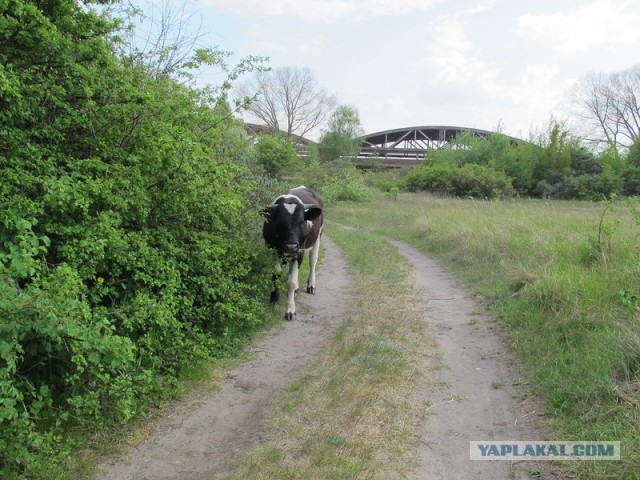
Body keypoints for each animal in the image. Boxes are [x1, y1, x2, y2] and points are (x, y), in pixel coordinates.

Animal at [262, 186, 324, 320]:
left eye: (301, 222)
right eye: (280, 222)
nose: (291, 246)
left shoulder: (299, 252)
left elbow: (291, 282)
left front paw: (290, 310)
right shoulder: (271, 251)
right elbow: (276, 276)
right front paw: (274, 299)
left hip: (317, 238)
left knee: (312, 262)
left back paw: (311, 286)